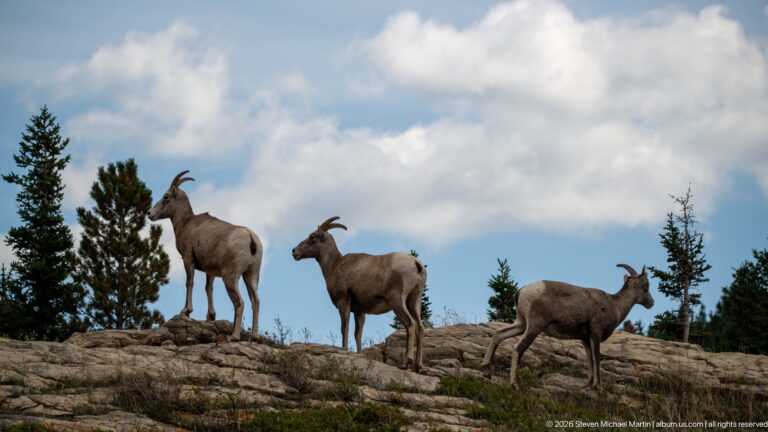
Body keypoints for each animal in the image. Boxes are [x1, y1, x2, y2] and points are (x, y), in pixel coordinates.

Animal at [148, 170, 263, 341]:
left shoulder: (188, 260)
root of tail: (250, 237)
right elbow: (208, 288)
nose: (150, 214)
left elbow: (190, 283)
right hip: (251, 275)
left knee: (239, 302)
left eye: (166, 197)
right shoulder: (210, 270)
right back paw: (254, 336)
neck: (186, 223)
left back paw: (233, 336)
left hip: (230, 277)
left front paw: (186, 311)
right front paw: (211, 316)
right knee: (255, 301)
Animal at [292, 216, 427, 371]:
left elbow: (344, 328)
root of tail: (416, 264)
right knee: (420, 327)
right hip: (414, 300)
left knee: (410, 324)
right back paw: (418, 366)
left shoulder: (343, 302)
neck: (334, 265)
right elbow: (358, 334)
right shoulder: (359, 312)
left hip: (397, 302)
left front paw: (344, 349)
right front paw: (360, 354)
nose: (294, 251)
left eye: (312, 236)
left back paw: (405, 363)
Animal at [481, 264, 654, 389]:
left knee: (498, 334)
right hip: (534, 327)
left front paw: (589, 383)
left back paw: (486, 369)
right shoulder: (595, 334)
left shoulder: (585, 338)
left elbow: (589, 359)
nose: (651, 303)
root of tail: (522, 291)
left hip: (521, 324)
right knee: (517, 349)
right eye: (646, 286)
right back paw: (514, 384)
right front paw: (598, 386)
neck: (614, 306)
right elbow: (597, 358)